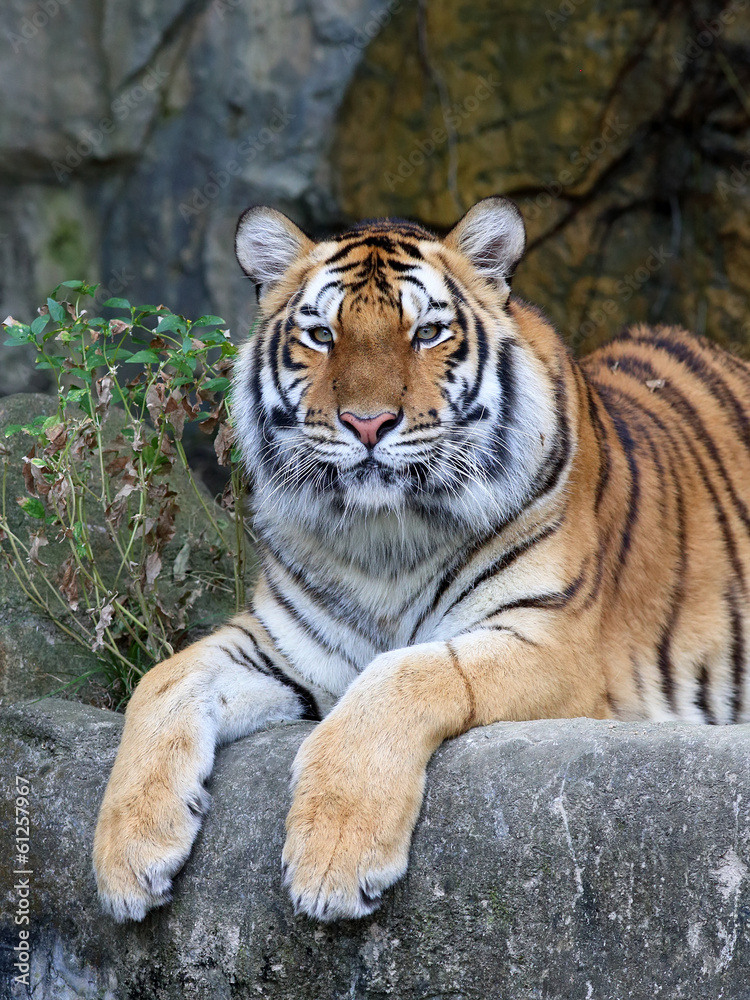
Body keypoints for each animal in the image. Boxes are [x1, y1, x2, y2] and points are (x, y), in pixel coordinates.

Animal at [93, 195, 750, 924]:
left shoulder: (553, 645)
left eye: (428, 332)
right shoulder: (285, 644)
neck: (387, 538)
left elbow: (404, 675)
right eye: (321, 335)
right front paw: (126, 855)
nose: (367, 423)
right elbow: (163, 681)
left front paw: (334, 857)